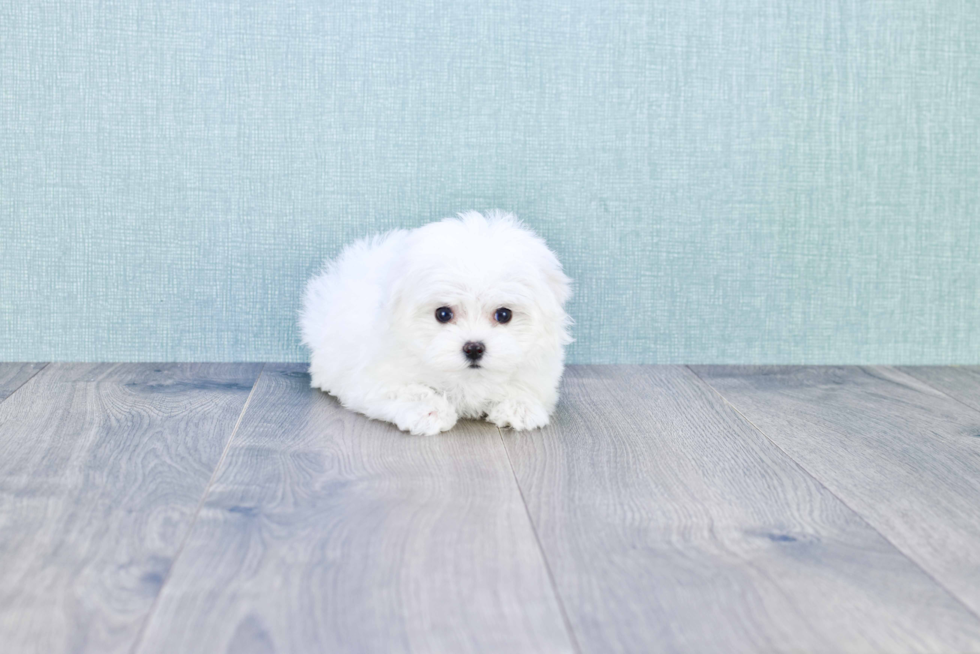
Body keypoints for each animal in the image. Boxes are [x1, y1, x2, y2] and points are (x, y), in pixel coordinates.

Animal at [302, 211, 572, 436]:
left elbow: (524, 386)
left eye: (504, 315)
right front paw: (428, 411)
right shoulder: (376, 377)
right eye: (443, 314)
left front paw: (520, 407)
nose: (474, 348)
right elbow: (408, 389)